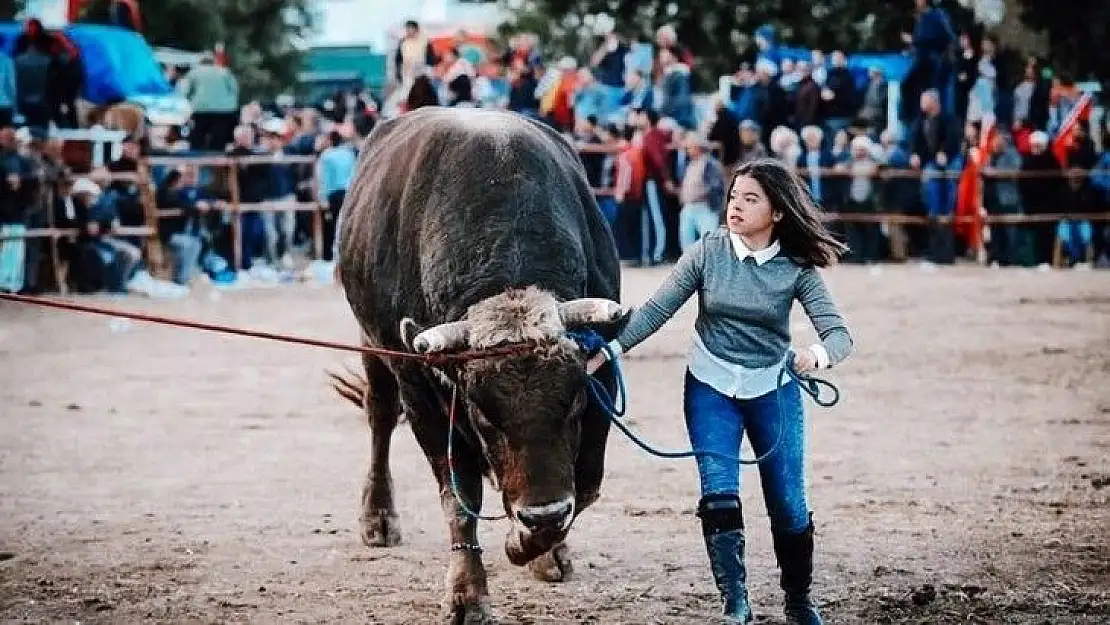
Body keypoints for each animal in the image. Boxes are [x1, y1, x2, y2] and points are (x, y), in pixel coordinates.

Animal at [328, 104, 626, 621]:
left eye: (573, 405)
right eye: (484, 416)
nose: (543, 513)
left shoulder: (600, 377)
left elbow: (586, 483)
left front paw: (540, 546)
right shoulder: (420, 388)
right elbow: (459, 496)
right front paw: (468, 593)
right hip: (372, 344)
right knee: (380, 414)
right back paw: (378, 517)